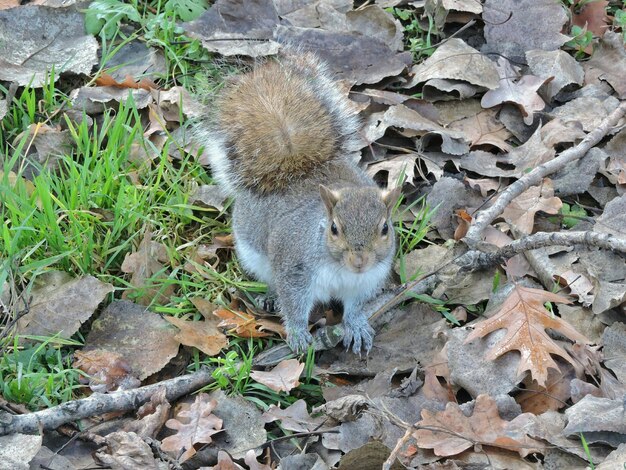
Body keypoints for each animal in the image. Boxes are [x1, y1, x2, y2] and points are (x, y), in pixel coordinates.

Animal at [197, 51, 398, 352]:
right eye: (334, 228)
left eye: (385, 228)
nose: (360, 261)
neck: (339, 267)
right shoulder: (295, 270)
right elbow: (293, 304)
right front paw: (298, 332)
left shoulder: (365, 281)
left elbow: (354, 307)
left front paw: (356, 325)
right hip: (254, 255)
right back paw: (270, 296)